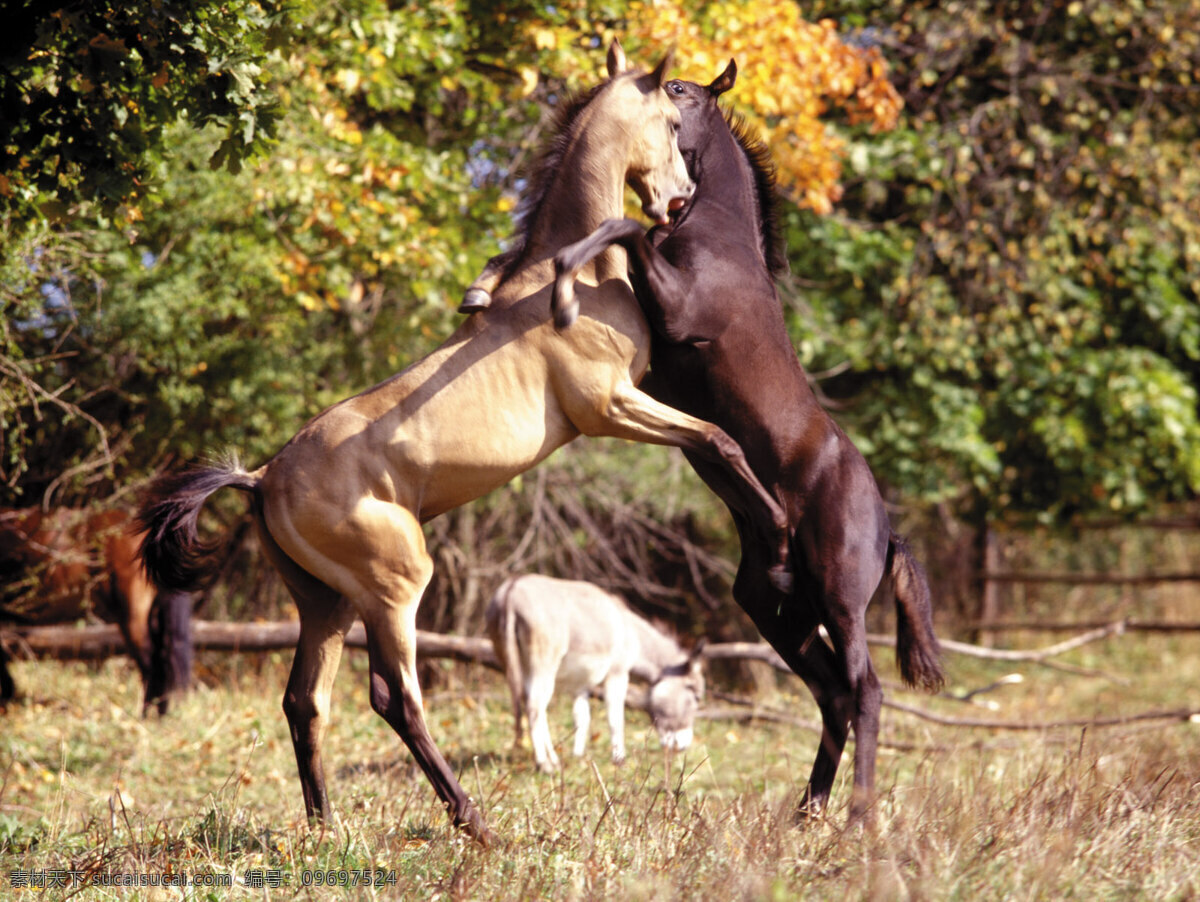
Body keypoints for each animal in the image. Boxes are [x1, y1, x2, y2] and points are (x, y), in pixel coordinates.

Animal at [485, 574, 704, 772]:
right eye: (695, 695)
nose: (683, 746)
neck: (630, 629)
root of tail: (512, 590)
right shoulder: (618, 673)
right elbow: (615, 717)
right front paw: (619, 760)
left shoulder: (581, 685)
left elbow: (582, 717)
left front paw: (578, 757)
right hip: (543, 664)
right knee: (534, 707)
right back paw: (544, 764)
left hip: (514, 662)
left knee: (533, 706)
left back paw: (554, 760)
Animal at [544, 62, 945, 821]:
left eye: (679, 92)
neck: (719, 239)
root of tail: (889, 531)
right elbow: (625, 234)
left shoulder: (674, 311)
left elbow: (622, 227)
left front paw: (558, 279)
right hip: (778, 611)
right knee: (833, 694)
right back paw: (807, 811)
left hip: (839, 601)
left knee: (866, 690)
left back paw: (857, 817)